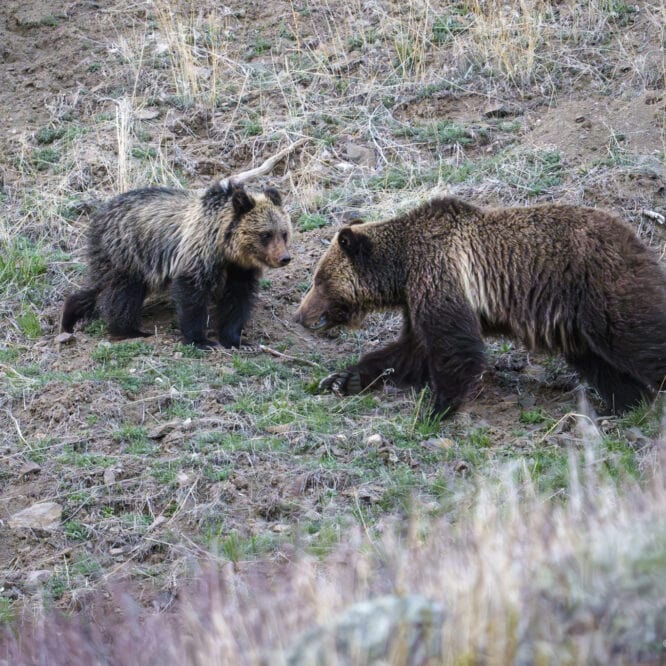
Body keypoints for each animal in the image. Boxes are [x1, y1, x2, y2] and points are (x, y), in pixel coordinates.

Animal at [61, 180, 292, 348]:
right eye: (266, 234)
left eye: (284, 233)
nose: (284, 258)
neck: (226, 248)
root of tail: (100, 214)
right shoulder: (198, 253)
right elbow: (192, 295)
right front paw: (201, 340)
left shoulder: (239, 270)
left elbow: (237, 300)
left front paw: (236, 339)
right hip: (128, 251)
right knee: (123, 293)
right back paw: (129, 330)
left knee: (101, 287)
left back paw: (70, 314)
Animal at [295, 196, 666, 416]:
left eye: (319, 280)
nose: (300, 315)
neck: (402, 268)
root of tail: (633, 236)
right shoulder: (418, 296)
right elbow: (410, 349)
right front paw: (344, 379)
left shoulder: (440, 272)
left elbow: (454, 345)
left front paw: (438, 408)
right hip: (574, 320)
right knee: (599, 362)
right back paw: (628, 402)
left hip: (600, 285)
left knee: (638, 335)